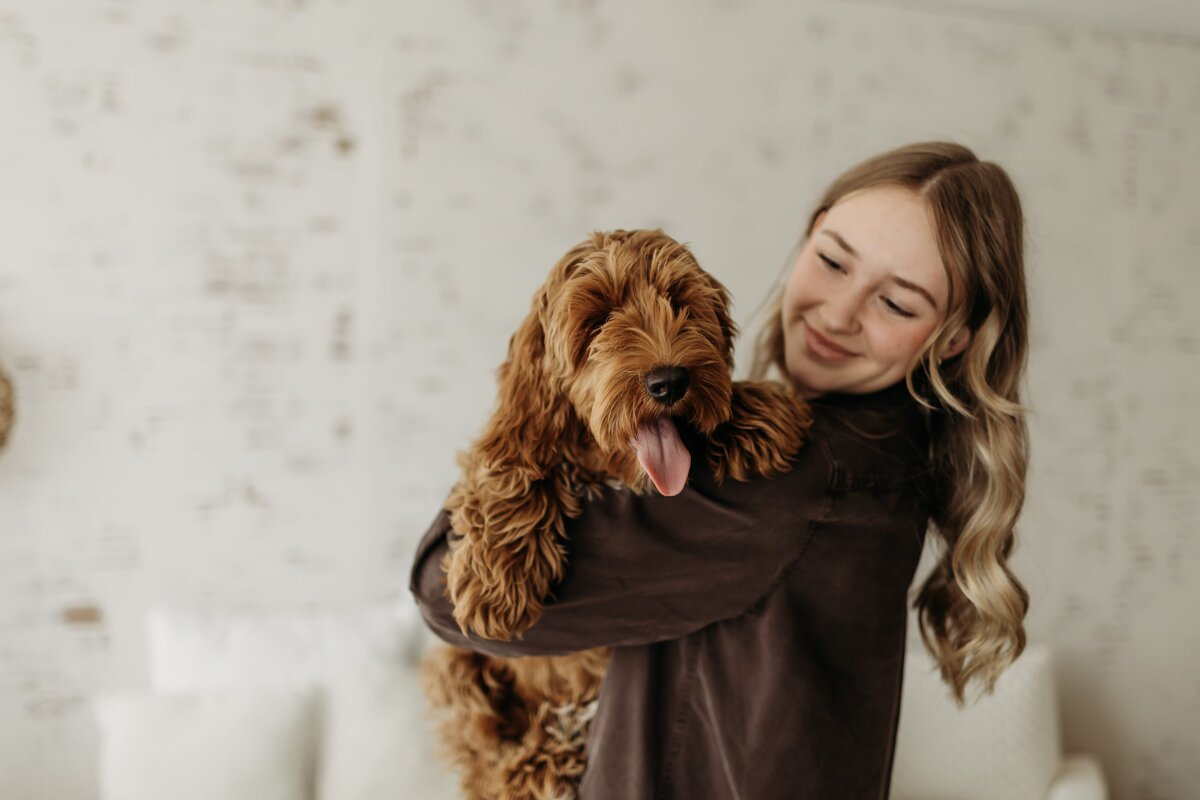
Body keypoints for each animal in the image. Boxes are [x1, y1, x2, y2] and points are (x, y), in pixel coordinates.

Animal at [420, 227, 806, 796]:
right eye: (598, 319)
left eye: (680, 303)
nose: (669, 382)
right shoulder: (516, 434)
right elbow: (511, 465)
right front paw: (498, 582)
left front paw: (753, 410)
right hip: (450, 668)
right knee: (482, 747)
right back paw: (536, 764)